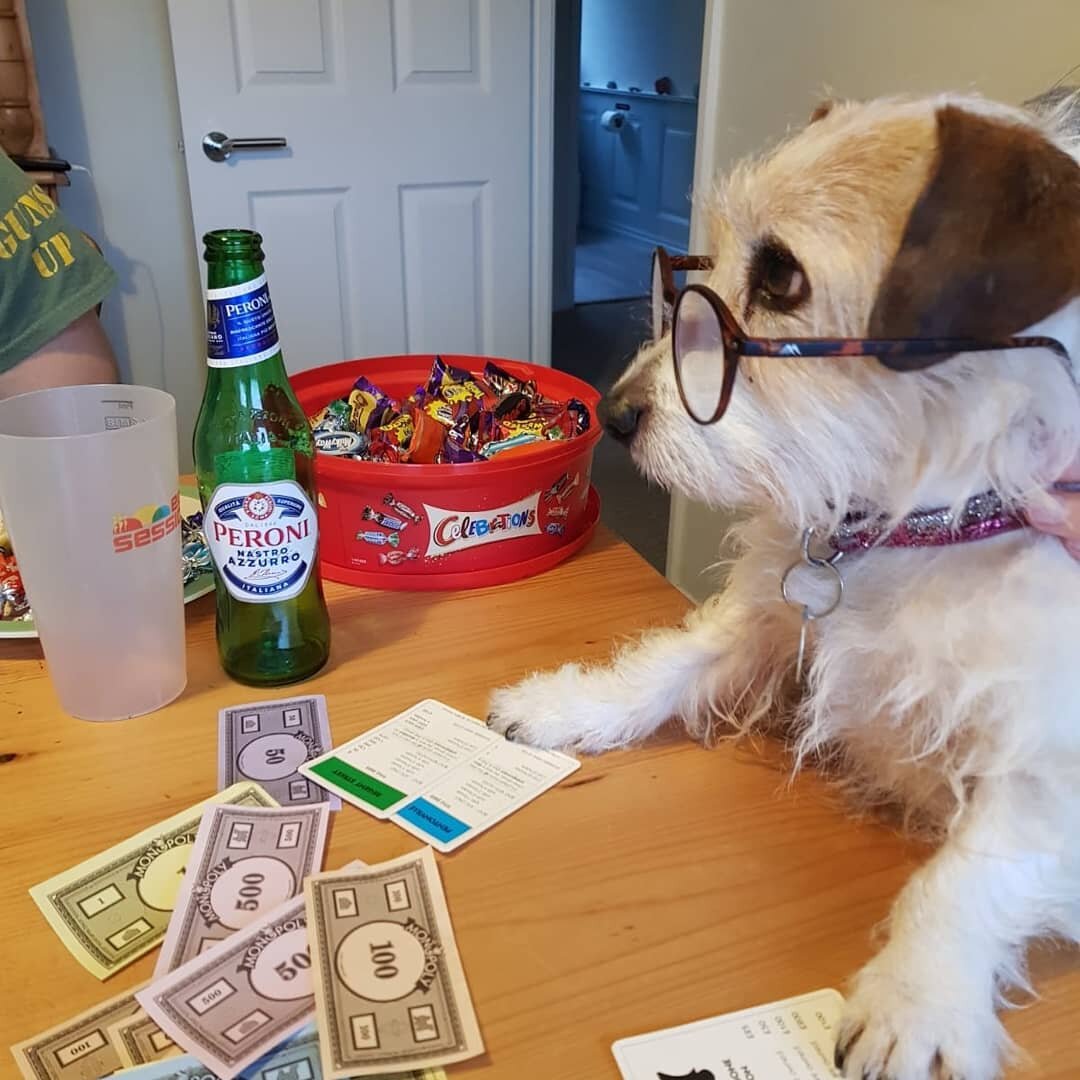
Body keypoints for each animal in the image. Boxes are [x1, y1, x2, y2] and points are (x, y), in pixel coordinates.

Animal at [488, 95, 1080, 1080]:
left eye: (781, 277)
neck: (924, 521)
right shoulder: (772, 616)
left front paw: (918, 999)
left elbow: (972, 870)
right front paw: (567, 707)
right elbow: (669, 664)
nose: (613, 414)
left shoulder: (1047, 765)